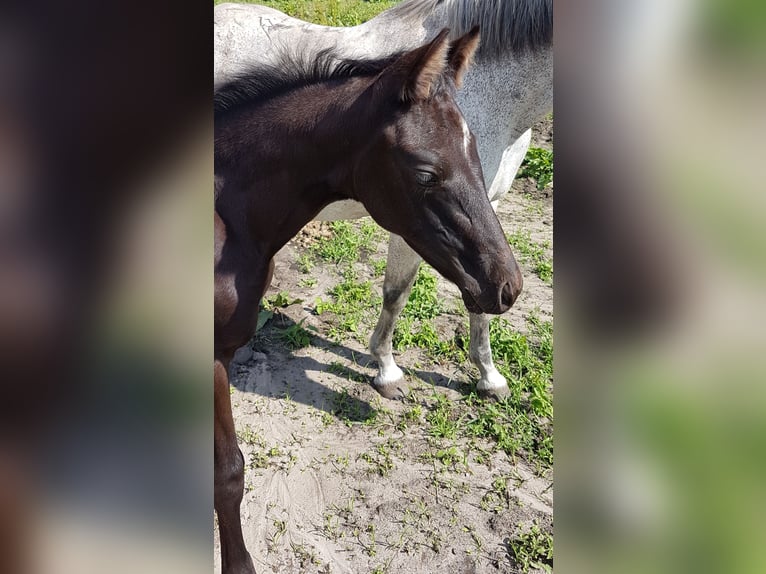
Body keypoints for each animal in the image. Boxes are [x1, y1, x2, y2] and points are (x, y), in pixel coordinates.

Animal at [213, 1, 556, 400]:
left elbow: (479, 299)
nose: (512, 289)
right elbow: (398, 293)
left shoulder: (490, 205)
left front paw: (489, 375)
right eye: (425, 175)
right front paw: (387, 369)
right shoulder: (413, 229)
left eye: (472, 152)